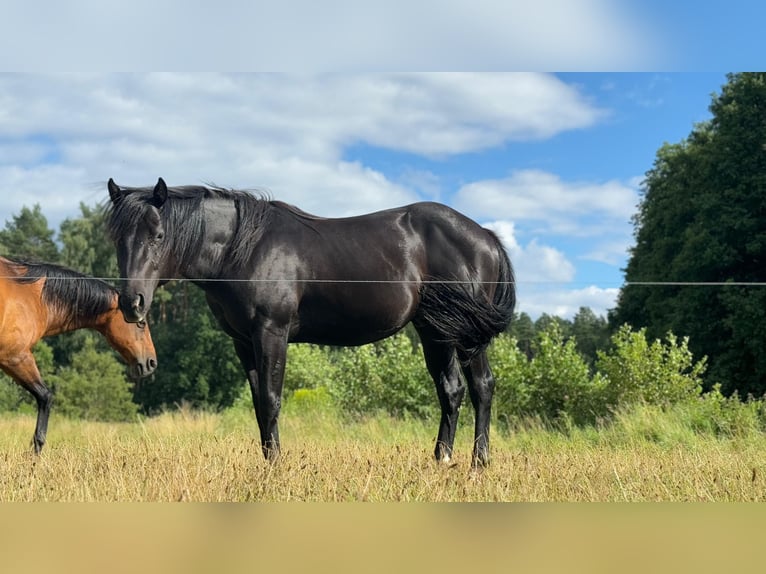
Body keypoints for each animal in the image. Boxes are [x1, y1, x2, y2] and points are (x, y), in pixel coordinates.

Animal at [106, 179, 516, 468]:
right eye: (116, 239)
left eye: (159, 235)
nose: (132, 303)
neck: (244, 248)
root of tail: (486, 237)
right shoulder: (243, 342)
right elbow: (258, 403)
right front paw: (267, 463)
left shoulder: (271, 332)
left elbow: (271, 400)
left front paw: (276, 467)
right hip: (435, 331)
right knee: (451, 390)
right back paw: (442, 459)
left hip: (464, 335)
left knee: (481, 386)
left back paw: (478, 463)